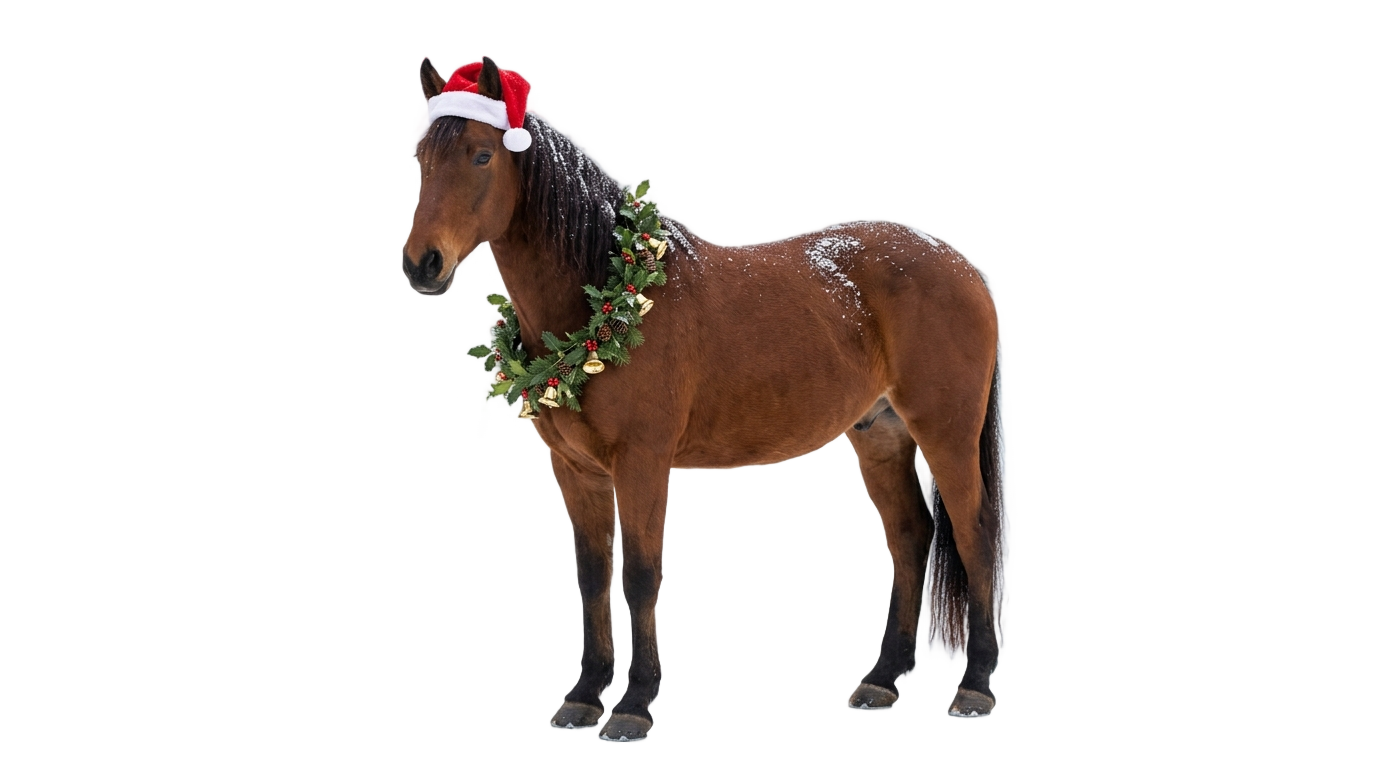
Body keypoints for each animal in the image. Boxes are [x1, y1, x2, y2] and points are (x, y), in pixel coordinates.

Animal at [399, 57, 1002, 740]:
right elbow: (592, 576)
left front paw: (633, 706)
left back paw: (975, 687)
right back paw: (882, 681)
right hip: (881, 434)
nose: (422, 264)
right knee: (909, 536)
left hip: (946, 432)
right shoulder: (575, 469)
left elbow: (639, 575)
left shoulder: (642, 463)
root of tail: (960, 266)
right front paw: (583, 697)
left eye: (480, 155)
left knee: (974, 533)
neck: (610, 301)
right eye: (423, 157)